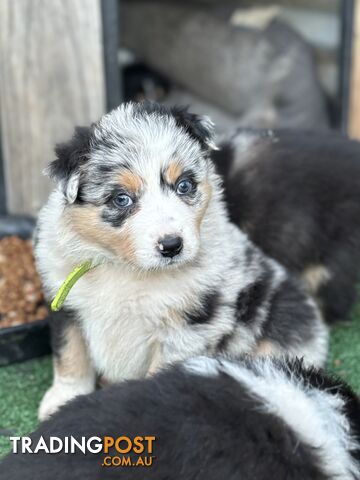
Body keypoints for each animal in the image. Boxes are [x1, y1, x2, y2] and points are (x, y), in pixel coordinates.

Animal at [35, 102, 328, 420]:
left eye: (184, 185)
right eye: (122, 199)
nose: (172, 246)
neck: (126, 267)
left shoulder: (188, 327)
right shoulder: (65, 302)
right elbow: (70, 354)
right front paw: (62, 398)